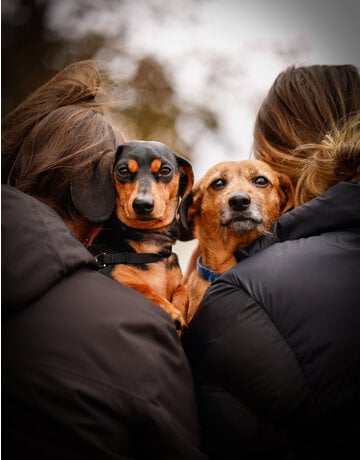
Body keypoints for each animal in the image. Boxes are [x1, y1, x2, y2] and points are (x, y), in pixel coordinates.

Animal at [71, 140, 194, 330]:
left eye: (165, 170)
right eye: (123, 170)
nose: (143, 204)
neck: (149, 247)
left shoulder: (179, 283)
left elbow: (183, 290)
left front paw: (179, 309)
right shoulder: (114, 275)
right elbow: (143, 289)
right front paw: (172, 311)